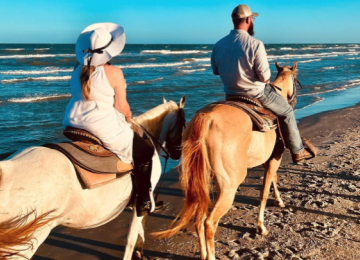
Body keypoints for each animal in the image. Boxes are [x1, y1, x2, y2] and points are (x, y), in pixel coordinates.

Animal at [0, 96, 186, 260]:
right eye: (183, 123)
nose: (178, 154)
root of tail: (6, 170)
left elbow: (138, 232)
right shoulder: (142, 202)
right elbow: (132, 238)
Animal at [156, 62, 300, 258]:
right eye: (296, 79)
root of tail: (206, 118)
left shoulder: (269, 159)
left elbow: (273, 180)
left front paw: (278, 200)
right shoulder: (273, 159)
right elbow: (264, 192)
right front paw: (261, 226)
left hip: (203, 181)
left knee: (199, 218)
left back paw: (203, 254)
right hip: (229, 186)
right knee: (209, 222)